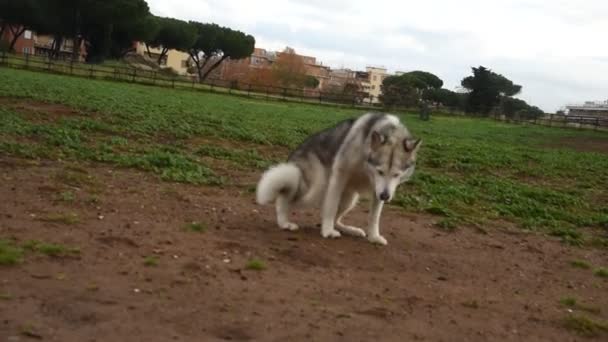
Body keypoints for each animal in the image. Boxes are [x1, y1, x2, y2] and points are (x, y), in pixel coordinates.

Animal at [254, 113, 420, 244]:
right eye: (380, 172)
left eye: (396, 175)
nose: (385, 196)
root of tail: (293, 157)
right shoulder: (340, 175)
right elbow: (330, 207)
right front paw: (327, 231)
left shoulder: (378, 190)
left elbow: (374, 217)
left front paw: (374, 237)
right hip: (315, 188)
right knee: (283, 198)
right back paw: (284, 223)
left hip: (349, 198)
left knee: (337, 219)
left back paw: (350, 230)